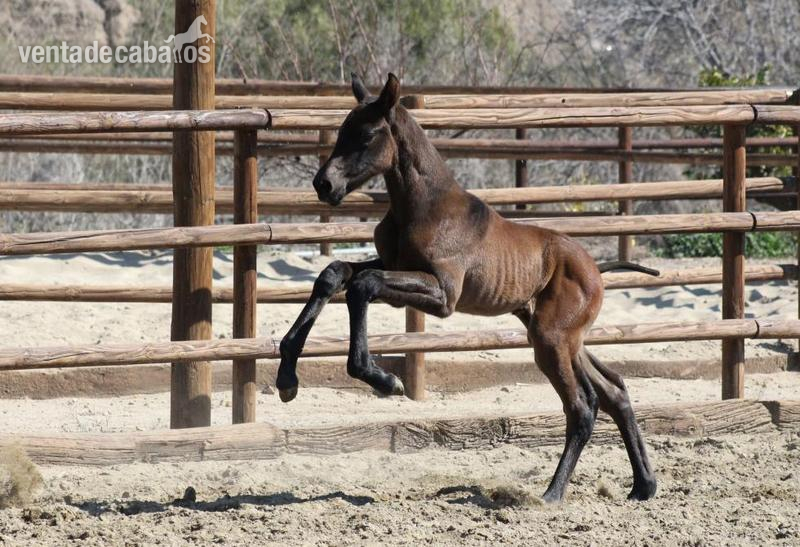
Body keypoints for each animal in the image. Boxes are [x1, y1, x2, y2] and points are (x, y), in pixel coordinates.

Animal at [276, 73, 658, 503]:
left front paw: (383, 379)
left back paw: (550, 495)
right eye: (342, 130)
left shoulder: (443, 295)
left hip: (551, 339)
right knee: (614, 391)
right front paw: (287, 379)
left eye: (367, 135)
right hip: (563, 339)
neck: (423, 207)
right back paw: (643, 485)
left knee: (582, 406)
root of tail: (595, 269)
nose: (324, 184)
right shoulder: (395, 266)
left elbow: (363, 285)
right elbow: (335, 273)